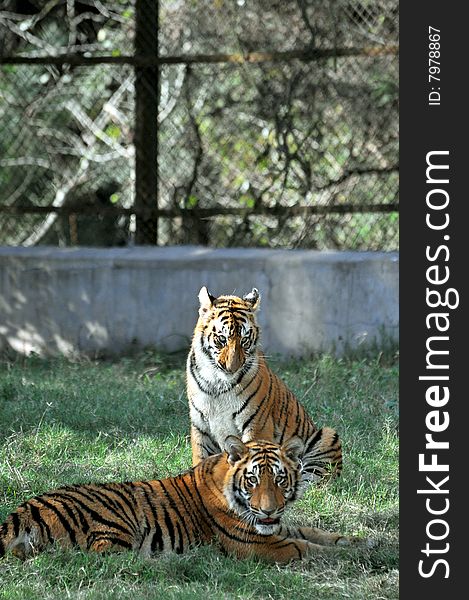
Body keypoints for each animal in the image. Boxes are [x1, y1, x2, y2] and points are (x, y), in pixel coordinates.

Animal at [0, 434, 360, 564]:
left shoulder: (274, 528)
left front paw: (359, 542)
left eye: (280, 479)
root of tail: (24, 509)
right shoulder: (256, 544)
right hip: (115, 518)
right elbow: (308, 548)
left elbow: (316, 533)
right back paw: (171, 560)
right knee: (106, 557)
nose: (269, 510)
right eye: (253, 480)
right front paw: (355, 556)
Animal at [187, 288, 344, 482]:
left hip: (327, 436)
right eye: (221, 339)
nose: (233, 367)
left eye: (244, 340)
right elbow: (201, 461)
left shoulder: (256, 425)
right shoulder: (201, 427)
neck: (217, 383)